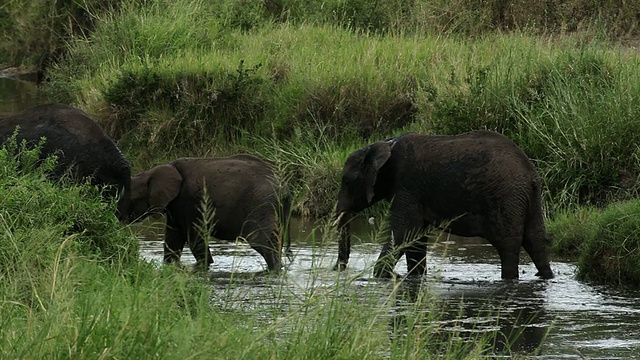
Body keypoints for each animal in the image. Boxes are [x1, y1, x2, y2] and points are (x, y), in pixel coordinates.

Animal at [122, 153, 292, 272]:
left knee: (262, 242)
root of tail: (285, 186)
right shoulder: (175, 208)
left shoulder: (188, 202)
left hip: (261, 203)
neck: (152, 171)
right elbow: (173, 241)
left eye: (131, 198)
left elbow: (195, 240)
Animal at [332, 131, 552, 280]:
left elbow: (405, 232)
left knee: (508, 247)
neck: (386, 144)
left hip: (506, 197)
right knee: (536, 242)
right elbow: (416, 238)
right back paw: (546, 277)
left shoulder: (406, 186)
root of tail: (530, 173)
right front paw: (414, 278)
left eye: (347, 181)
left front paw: (381, 276)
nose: (338, 268)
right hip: (529, 198)